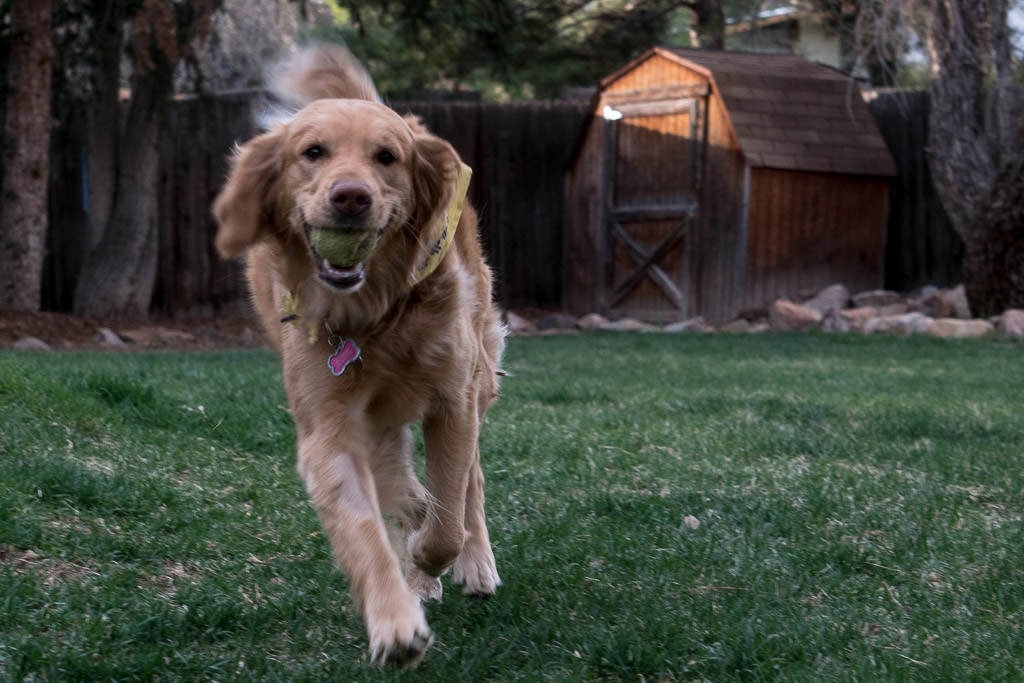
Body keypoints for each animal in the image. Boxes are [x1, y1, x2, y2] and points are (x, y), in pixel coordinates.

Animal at [212, 46, 507, 667]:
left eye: (387, 157)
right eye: (312, 152)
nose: (351, 195)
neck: (374, 313)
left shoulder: (452, 400)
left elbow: (447, 518)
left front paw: (434, 555)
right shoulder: (329, 426)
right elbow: (366, 527)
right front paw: (395, 622)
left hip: (478, 372)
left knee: (469, 483)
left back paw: (472, 564)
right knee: (400, 480)